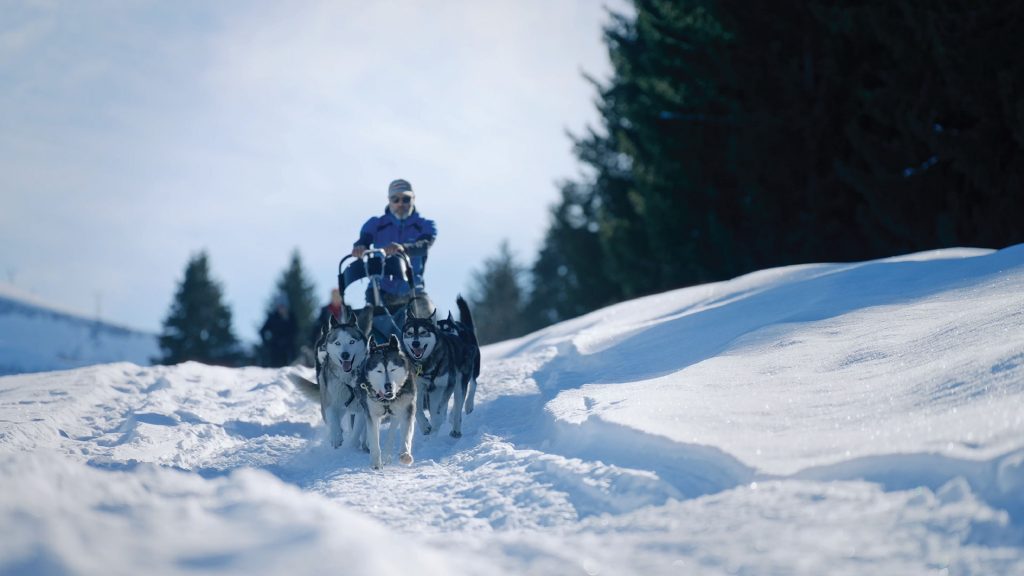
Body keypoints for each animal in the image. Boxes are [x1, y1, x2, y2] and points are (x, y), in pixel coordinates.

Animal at [317, 309, 374, 448]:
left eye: (351, 341)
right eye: (337, 343)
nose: (345, 354)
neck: (348, 379)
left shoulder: (362, 408)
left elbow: (357, 431)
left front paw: (351, 445)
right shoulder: (330, 402)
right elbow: (333, 420)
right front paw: (336, 438)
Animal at [360, 332, 415, 467]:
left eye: (393, 369)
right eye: (379, 371)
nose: (388, 385)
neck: (387, 400)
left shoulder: (407, 408)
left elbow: (406, 434)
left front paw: (405, 454)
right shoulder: (372, 414)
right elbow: (374, 438)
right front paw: (375, 462)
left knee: (392, 431)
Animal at [399, 295, 479, 434]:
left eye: (423, 332)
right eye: (409, 333)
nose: (415, 343)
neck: (427, 364)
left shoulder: (448, 384)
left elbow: (441, 408)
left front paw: (438, 420)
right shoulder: (421, 387)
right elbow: (419, 410)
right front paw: (425, 425)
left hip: (465, 375)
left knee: (468, 390)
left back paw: (461, 416)